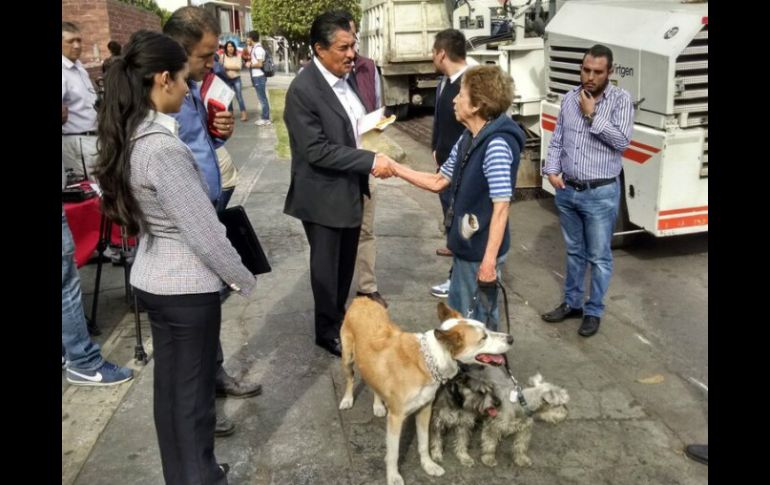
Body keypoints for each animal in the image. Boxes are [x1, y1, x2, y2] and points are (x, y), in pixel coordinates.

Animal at [340, 296, 512, 484]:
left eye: (487, 327)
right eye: (483, 337)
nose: (511, 338)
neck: (429, 359)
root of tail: (362, 298)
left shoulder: (425, 409)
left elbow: (424, 443)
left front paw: (428, 465)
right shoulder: (396, 417)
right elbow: (393, 453)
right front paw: (393, 476)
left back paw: (378, 405)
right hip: (347, 358)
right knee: (350, 377)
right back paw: (347, 400)